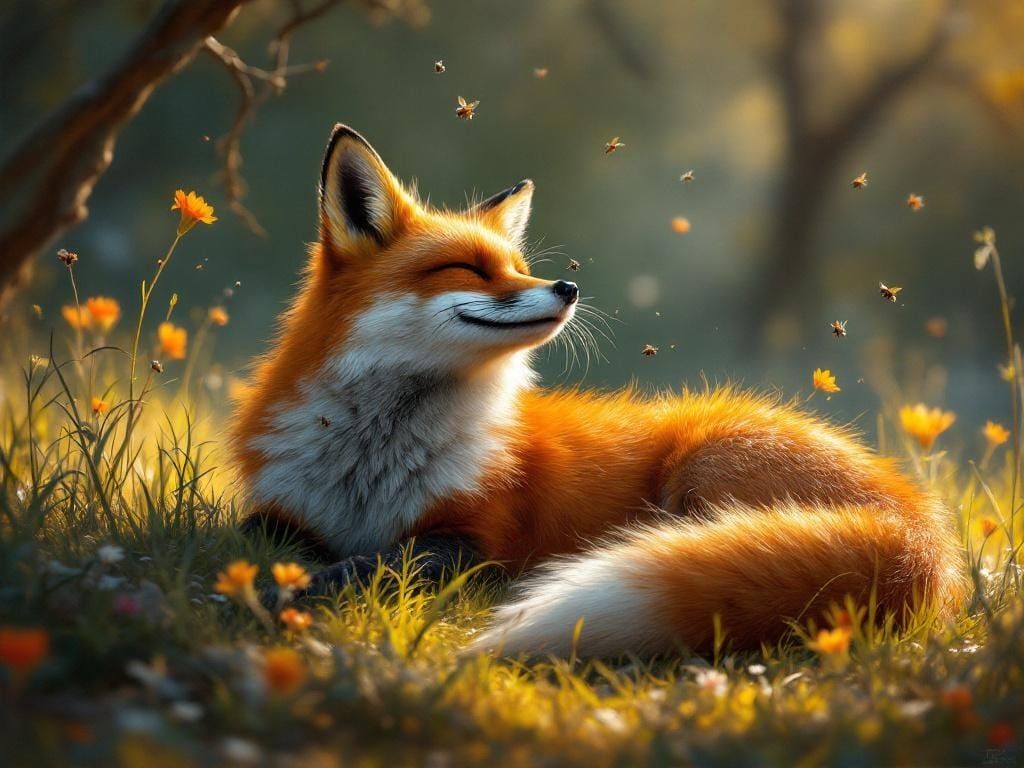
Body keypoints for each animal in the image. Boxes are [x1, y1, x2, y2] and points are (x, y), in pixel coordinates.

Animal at [233, 124, 964, 657]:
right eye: (466, 267)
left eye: (518, 266)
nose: (567, 286)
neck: (369, 466)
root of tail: (921, 526)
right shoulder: (281, 511)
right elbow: (264, 540)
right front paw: (267, 584)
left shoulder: (474, 541)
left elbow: (371, 565)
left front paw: (279, 596)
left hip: (706, 465)